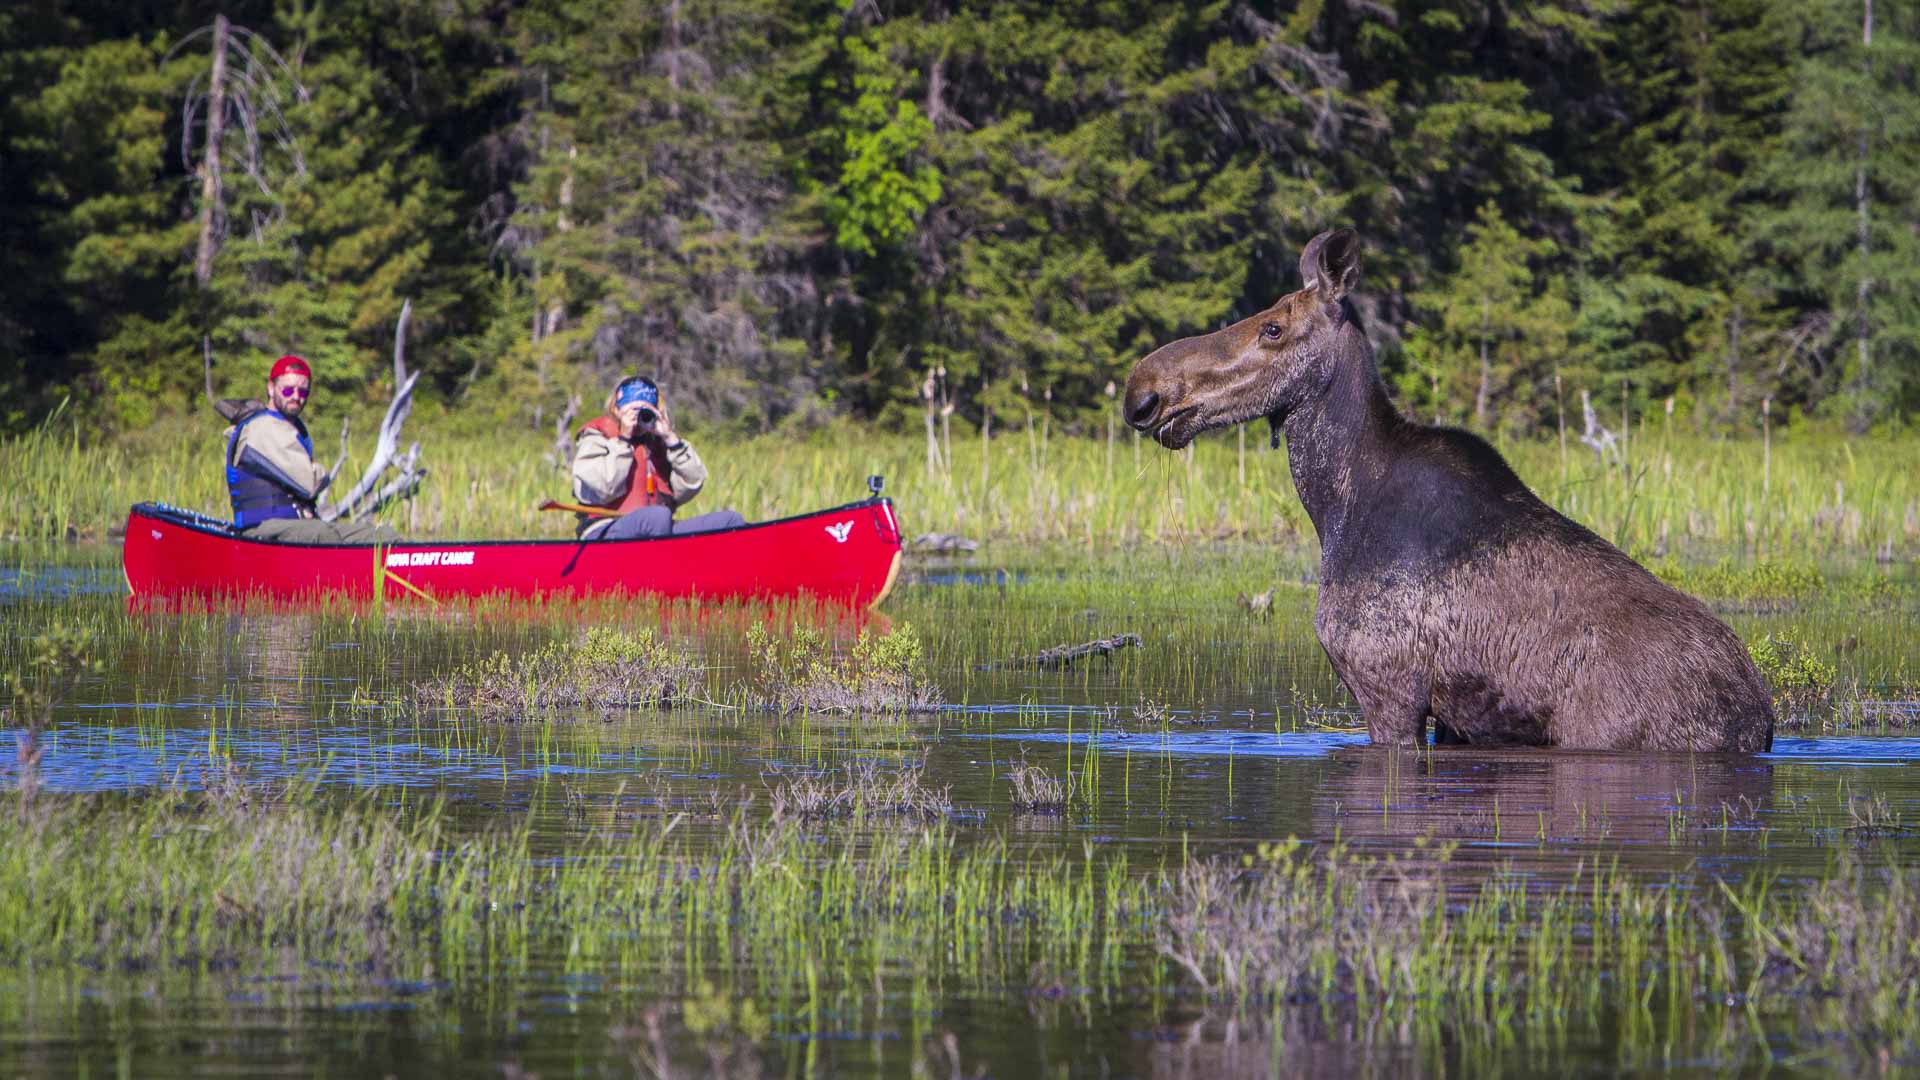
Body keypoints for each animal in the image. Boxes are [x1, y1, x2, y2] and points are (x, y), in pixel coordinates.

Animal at [1121, 226, 1766, 749]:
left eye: (1273, 328)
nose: (1144, 391)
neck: (1334, 505)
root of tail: (1760, 722)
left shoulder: (1386, 685)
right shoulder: (1457, 717)